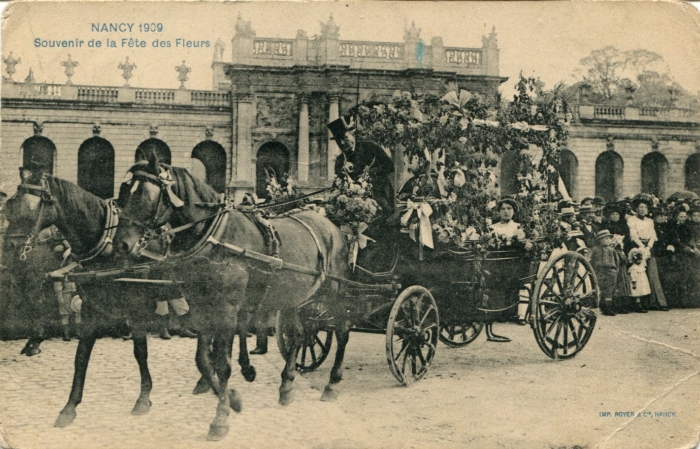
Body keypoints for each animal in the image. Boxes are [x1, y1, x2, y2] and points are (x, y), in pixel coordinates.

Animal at [116, 156, 356, 440]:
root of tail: (332, 227)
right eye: (125, 191)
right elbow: (203, 361)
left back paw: (331, 384)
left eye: (144, 194)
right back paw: (286, 385)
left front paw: (220, 418)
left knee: (342, 332)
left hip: (335, 292)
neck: (215, 235)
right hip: (294, 296)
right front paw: (232, 398)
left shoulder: (227, 311)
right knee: (299, 335)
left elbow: (222, 364)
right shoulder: (203, 307)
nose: (121, 244)